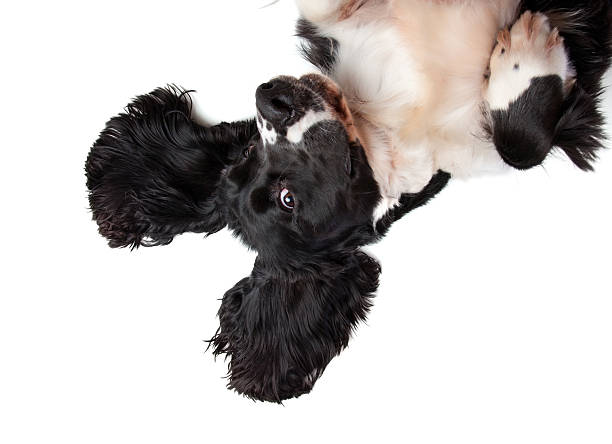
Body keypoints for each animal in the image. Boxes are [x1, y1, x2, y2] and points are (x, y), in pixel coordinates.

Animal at [83, 0, 608, 402]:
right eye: (287, 200)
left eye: (250, 150)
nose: (269, 97)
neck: (384, 118)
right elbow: (519, 148)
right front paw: (529, 47)